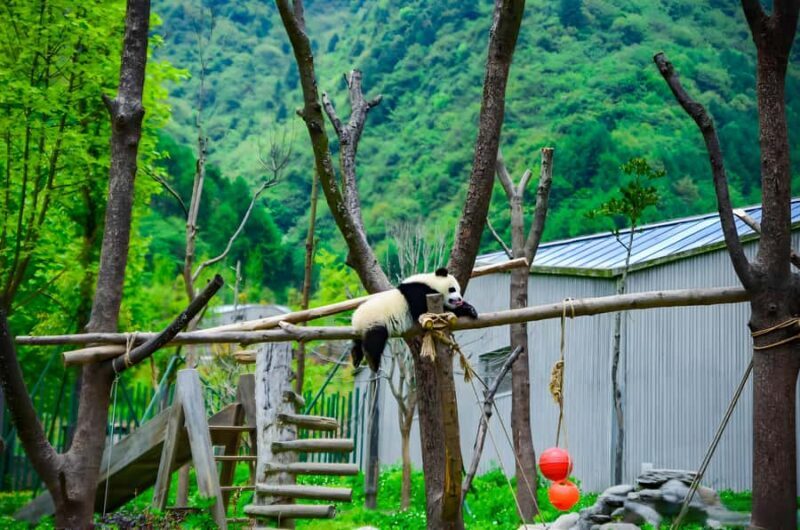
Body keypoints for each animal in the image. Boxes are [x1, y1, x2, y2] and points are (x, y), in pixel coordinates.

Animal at [350, 267, 479, 372]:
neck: (429, 282)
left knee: (359, 341)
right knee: (375, 339)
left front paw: (470, 309)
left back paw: (356, 356)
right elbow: (421, 309)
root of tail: (355, 320)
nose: (459, 299)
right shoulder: (417, 291)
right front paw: (463, 309)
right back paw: (372, 361)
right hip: (374, 320)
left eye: (458, 290)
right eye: (452, 289)